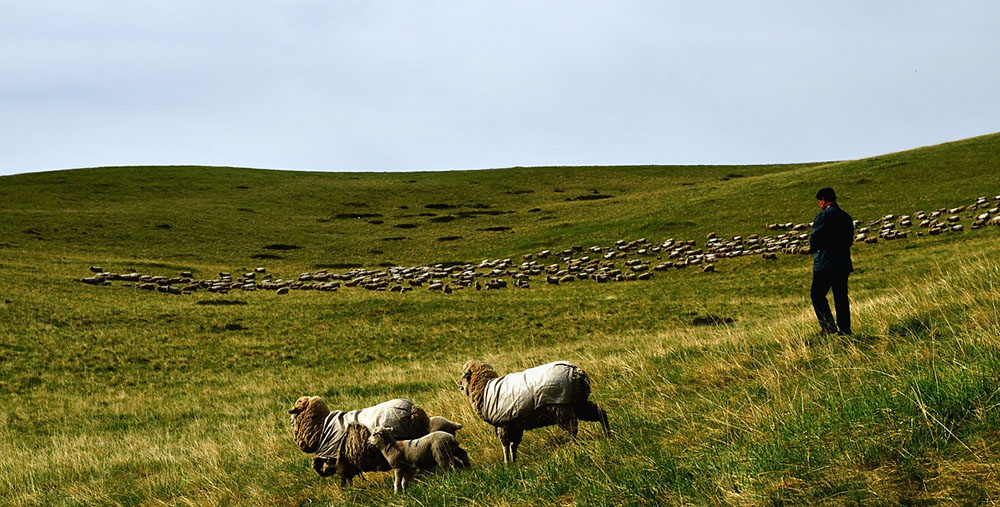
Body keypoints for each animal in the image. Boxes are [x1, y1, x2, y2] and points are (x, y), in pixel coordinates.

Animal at [288, 396, 432, 488]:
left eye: (294, 414)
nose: (294, 438)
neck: (321, 426)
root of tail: (414, 409)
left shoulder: (340, 460)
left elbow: (345, 480)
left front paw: (348, 494)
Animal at [458, 358, 608, 464]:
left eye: (463, 375)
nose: (458, 384)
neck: (484, 388)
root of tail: (577, 371)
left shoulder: (504, 424)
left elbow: (505, 445)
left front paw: (507, 464)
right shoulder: (515, 425)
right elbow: (514, 445)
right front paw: (514, 462)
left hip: (561, 407)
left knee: (572, 428)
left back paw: (574, 446)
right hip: (578, 403)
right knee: (599, 412)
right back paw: (607, 434)